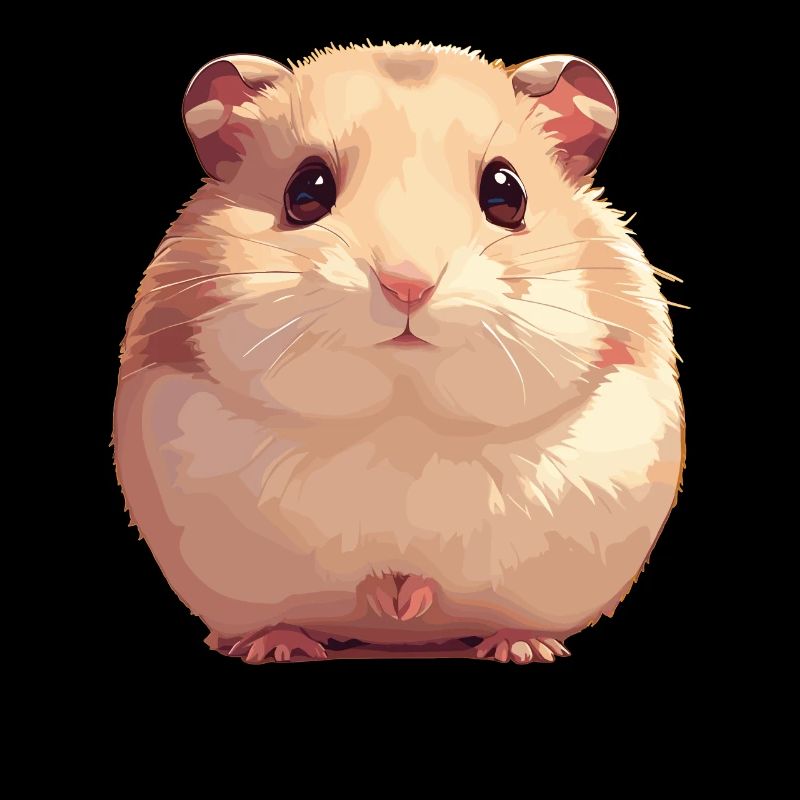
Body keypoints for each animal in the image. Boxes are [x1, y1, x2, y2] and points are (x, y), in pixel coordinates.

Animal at [113, 42, 684, 664]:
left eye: (507, 194)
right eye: (305, 192)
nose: (407, 285)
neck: (403, 419)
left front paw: (417, 603)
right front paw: (366, 607)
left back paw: (521, 647)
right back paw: (283, 646)